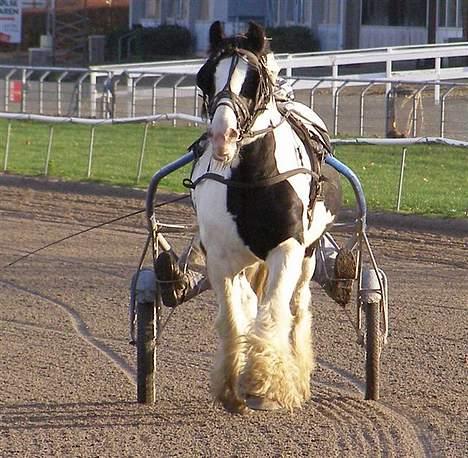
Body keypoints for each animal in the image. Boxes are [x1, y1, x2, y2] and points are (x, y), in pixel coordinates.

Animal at [190, 21, 340, 414]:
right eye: (205, 77)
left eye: (253, 81)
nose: (222, 136)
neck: (251, 180)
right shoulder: (220, 257)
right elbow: (233, 316)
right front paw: (231, 386)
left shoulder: (287, 248)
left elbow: (274, 311)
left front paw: (263, 386)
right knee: (248, 300)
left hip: (308, 255)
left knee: (297, 306)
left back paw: (298, 372)